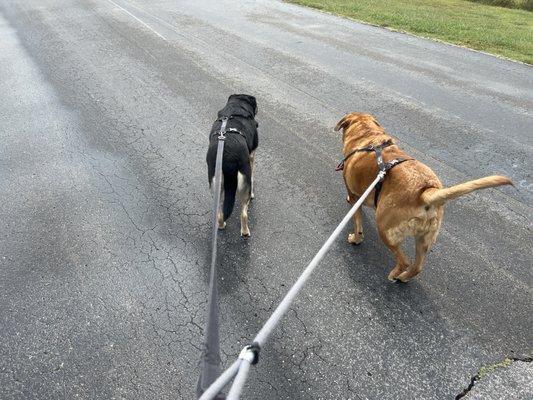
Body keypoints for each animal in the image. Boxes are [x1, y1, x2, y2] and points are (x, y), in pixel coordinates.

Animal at [206, 94, 258, 236]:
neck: (235, 108)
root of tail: (228, 155)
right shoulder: (251, 156)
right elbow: (253, 176)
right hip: (243, 179)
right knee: (244, 213)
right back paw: (245, 232)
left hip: (216, 183)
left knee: (219, 213)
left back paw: (221, 225)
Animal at [332, 112, 512, 282]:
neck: (367, 135)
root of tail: (426, 191)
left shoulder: (354, 194)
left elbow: (357, 222)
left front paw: (356, 238)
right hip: (424, 239)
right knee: (417, 266)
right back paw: (403, 277)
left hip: (385, 227)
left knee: (404, 261)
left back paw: (394, 274)